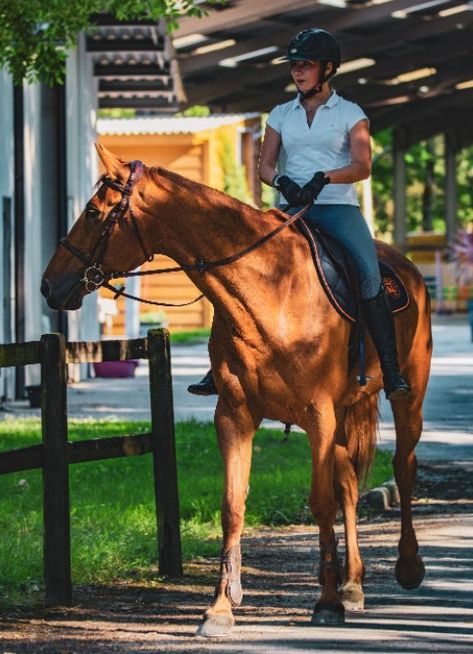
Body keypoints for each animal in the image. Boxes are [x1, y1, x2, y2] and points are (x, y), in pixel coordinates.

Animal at [42, 146, 430, 640]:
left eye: (93, 212)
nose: (48, 285)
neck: (268, 291)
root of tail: (405, 267)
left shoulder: (317, 415)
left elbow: (319, 503)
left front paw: (324, 603)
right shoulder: (234, 415)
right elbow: (233, 505)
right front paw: (220, 607)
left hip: (406, 398)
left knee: (403, 466)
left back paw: (407, 567)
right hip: (345, 414)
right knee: (347, 482)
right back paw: (353, 586)